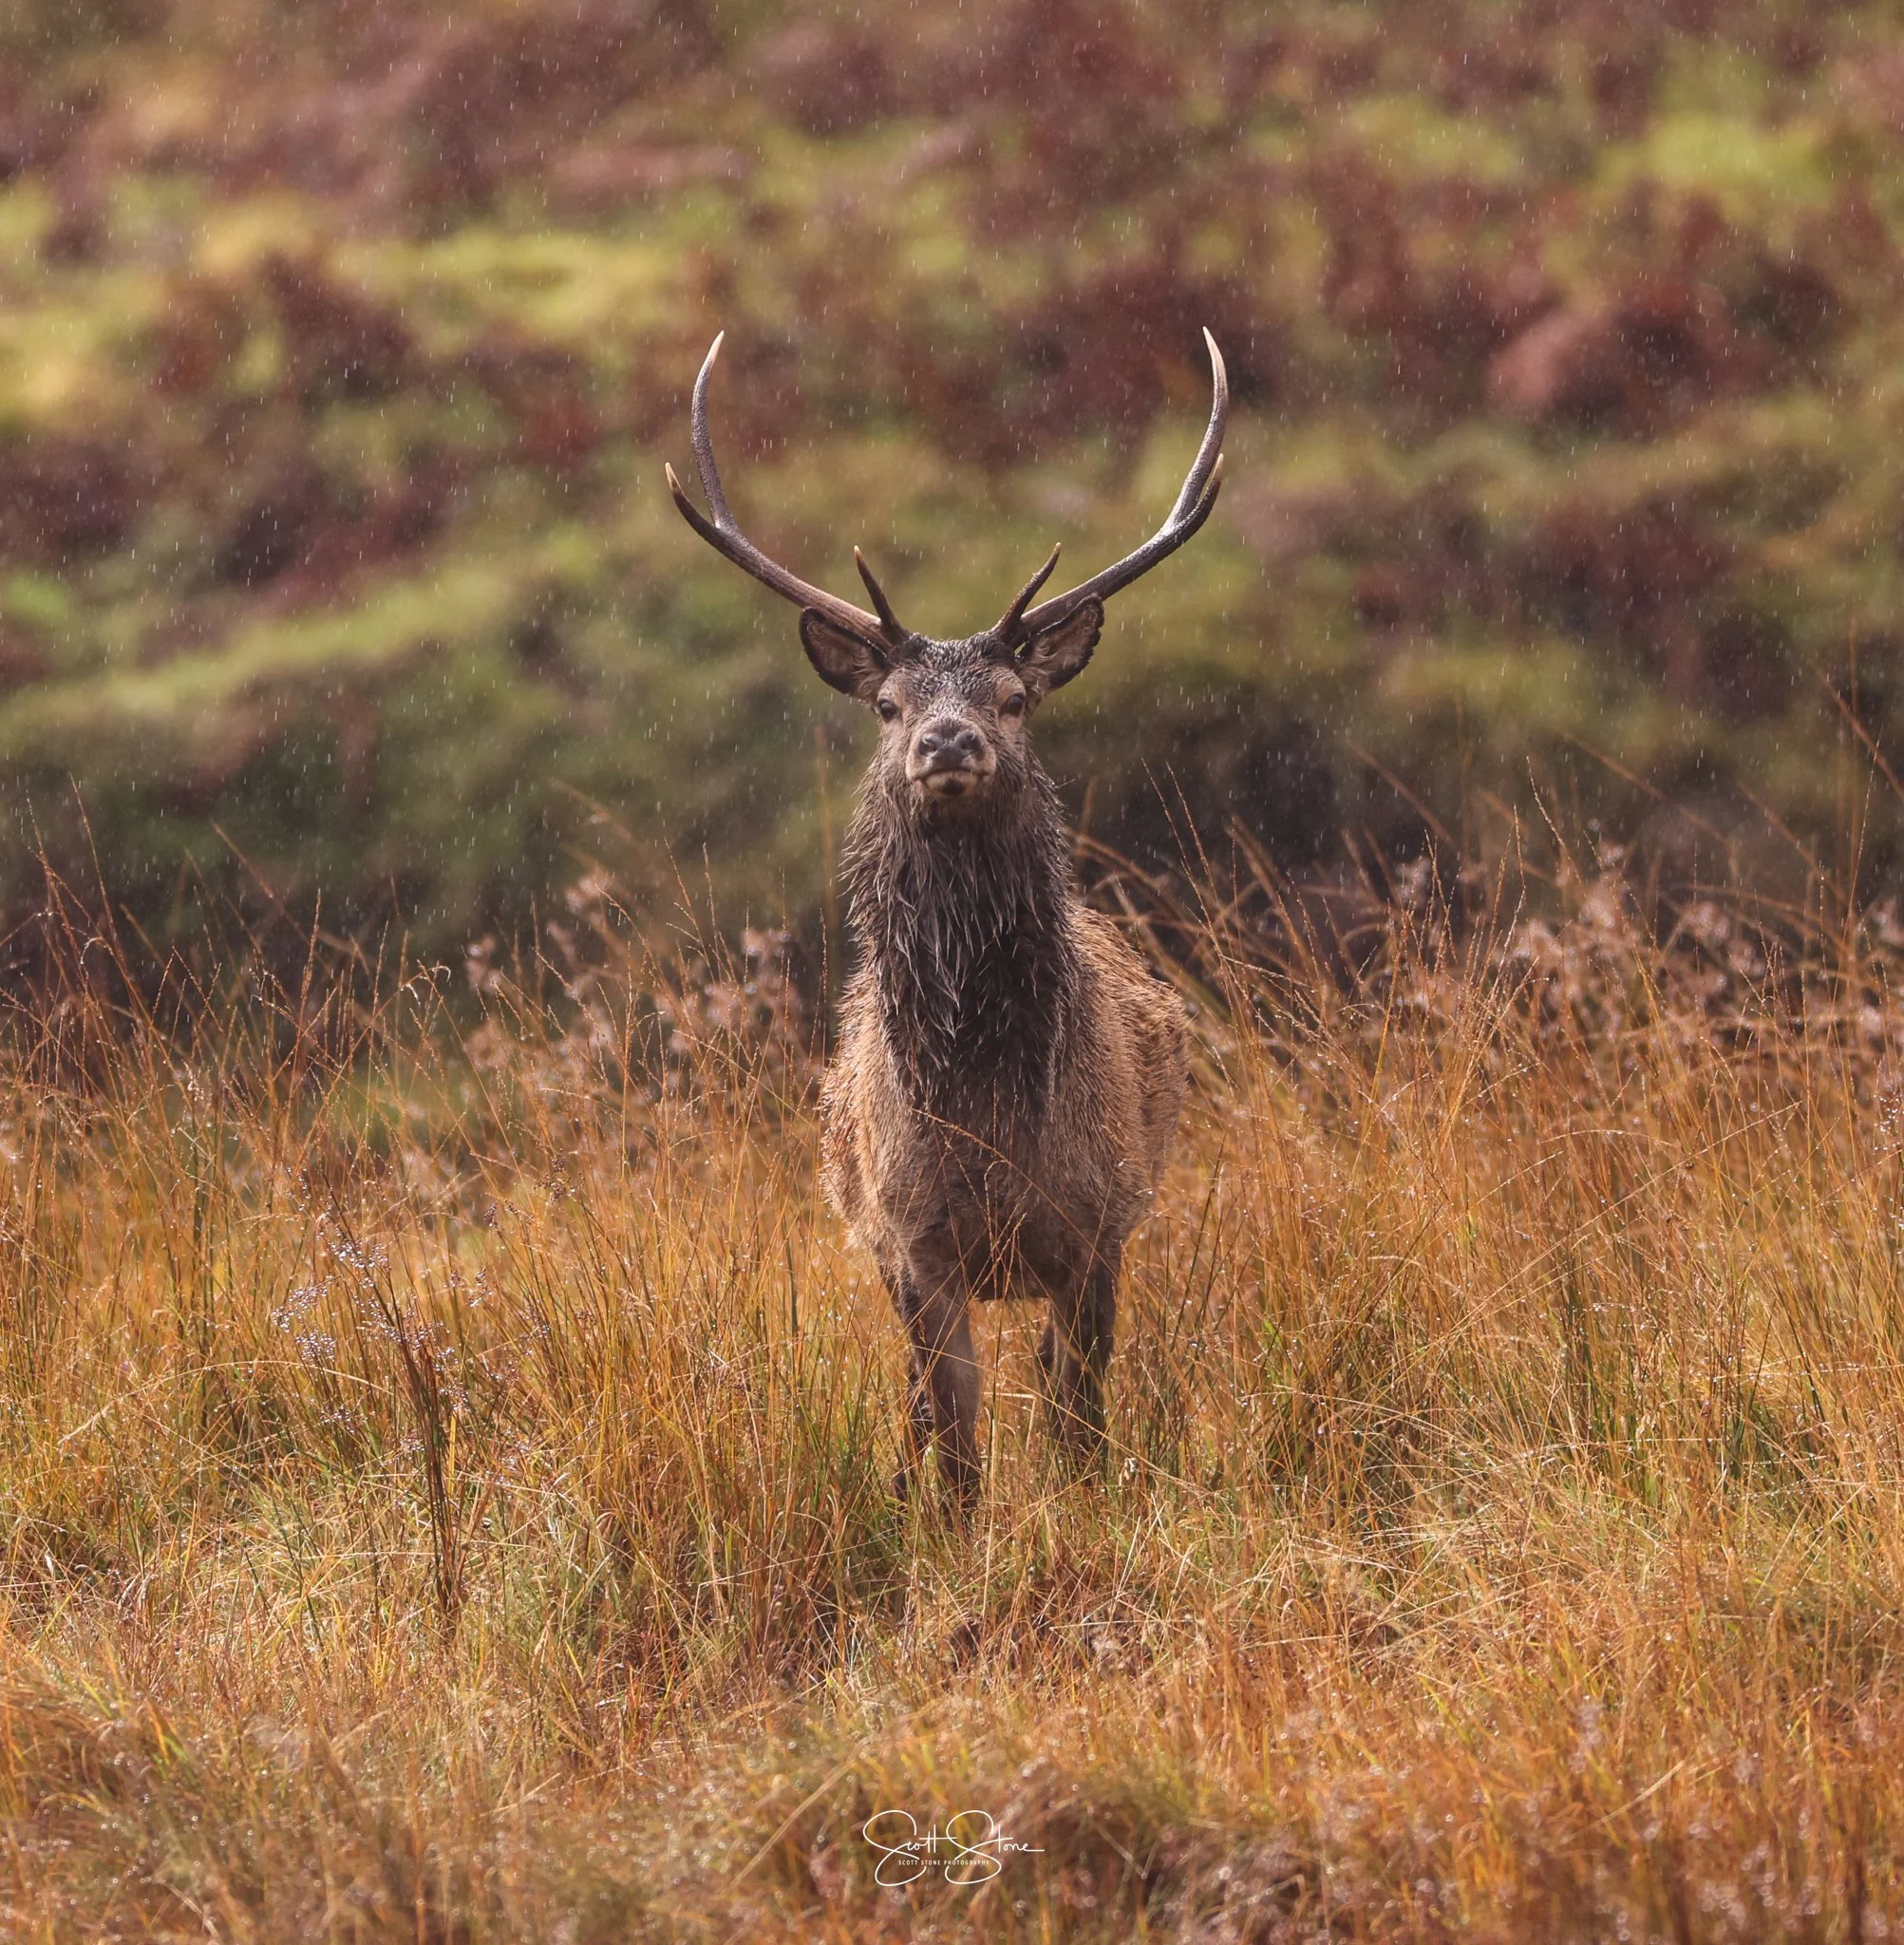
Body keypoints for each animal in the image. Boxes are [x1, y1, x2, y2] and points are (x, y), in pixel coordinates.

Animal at [667, 329, 1228, 1506]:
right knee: (925, 1411)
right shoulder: (911, 1239)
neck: (987, 1120)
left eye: (1015, 699)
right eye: (888, 706)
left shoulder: (1095, 1224)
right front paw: (957, 1529)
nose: (949, 741)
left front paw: (1080, 1516)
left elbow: (1076, 1419)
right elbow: (958, 1431)